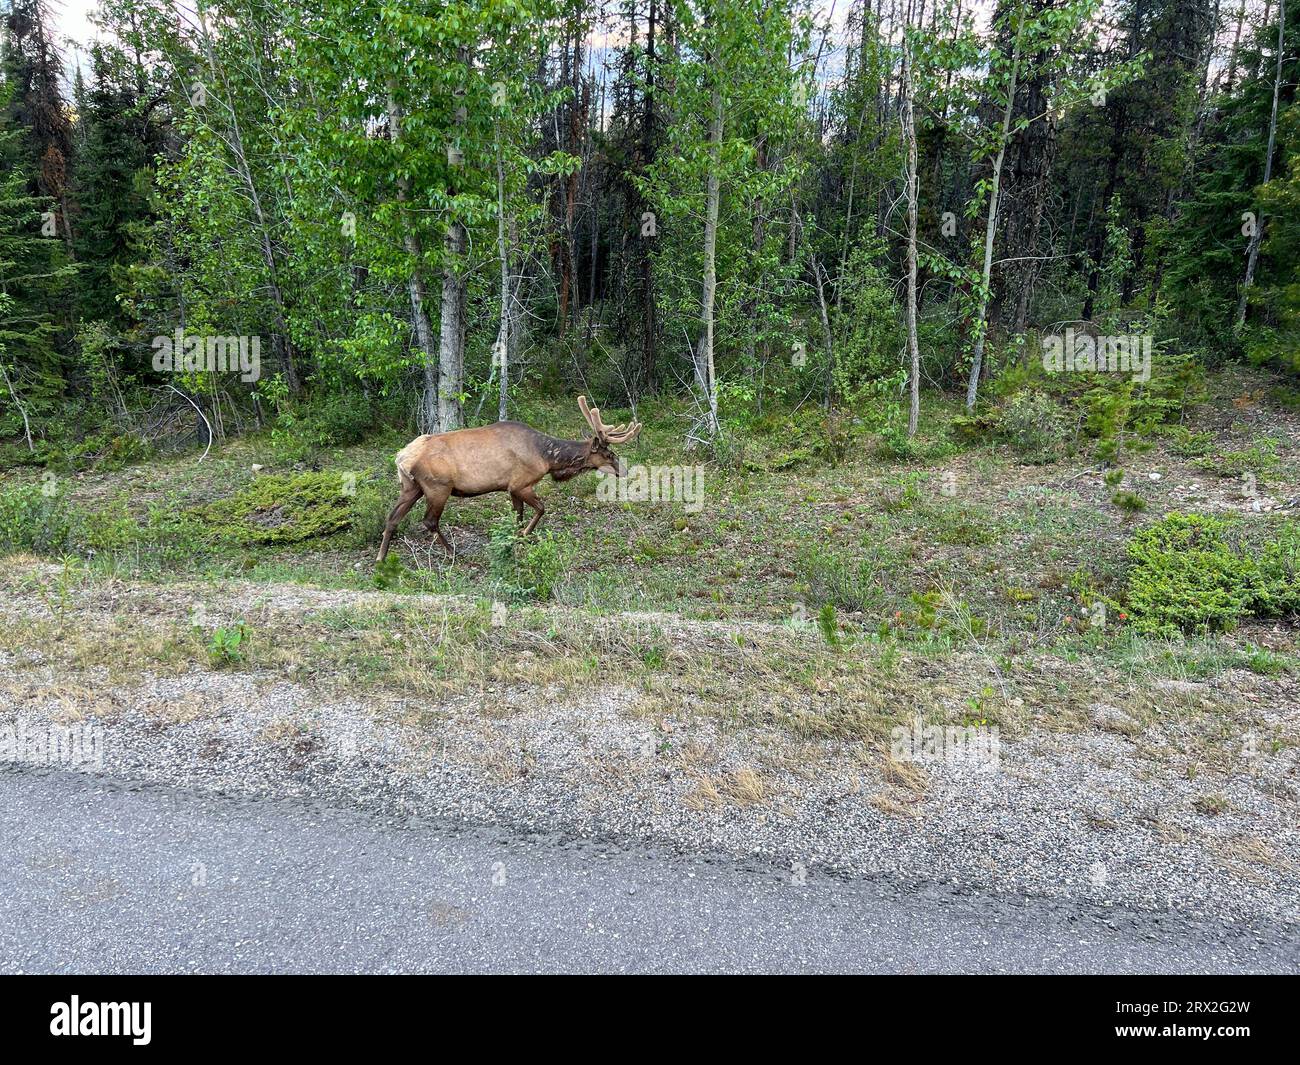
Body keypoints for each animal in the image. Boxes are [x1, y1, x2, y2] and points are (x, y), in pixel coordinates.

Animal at [374, 397, 642, 566]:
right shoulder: (521, 483)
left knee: (392, 517)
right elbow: (540, 509)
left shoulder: (511, 488)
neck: (548, 458)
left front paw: (512, 538)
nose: (624, 470)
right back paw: (453, 553)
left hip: (411, 487)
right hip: (437, 486)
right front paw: (523, 535)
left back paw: (381, 557)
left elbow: (518, 514)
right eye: (609, 454)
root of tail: (402, 457)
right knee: (429, 520)